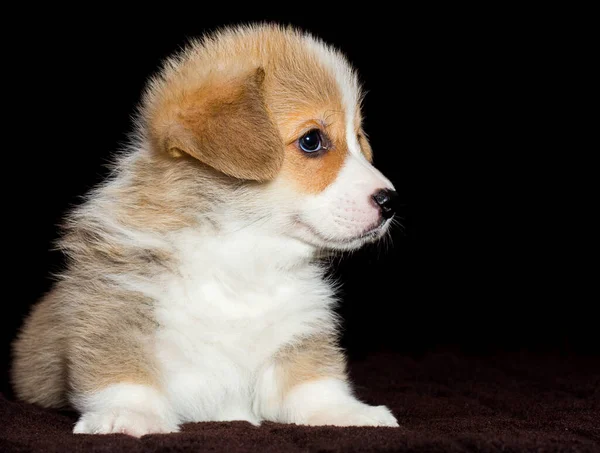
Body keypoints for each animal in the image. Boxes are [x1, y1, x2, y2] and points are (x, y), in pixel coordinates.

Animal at [10, 23, 398, 434]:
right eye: (312, 141)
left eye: (359, 138)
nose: (391, 201)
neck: (241, 250)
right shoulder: (115, 309)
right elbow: (123, 376)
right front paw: (130, 417)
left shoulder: (297, 332)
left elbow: (314, 385)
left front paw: (352, 414)